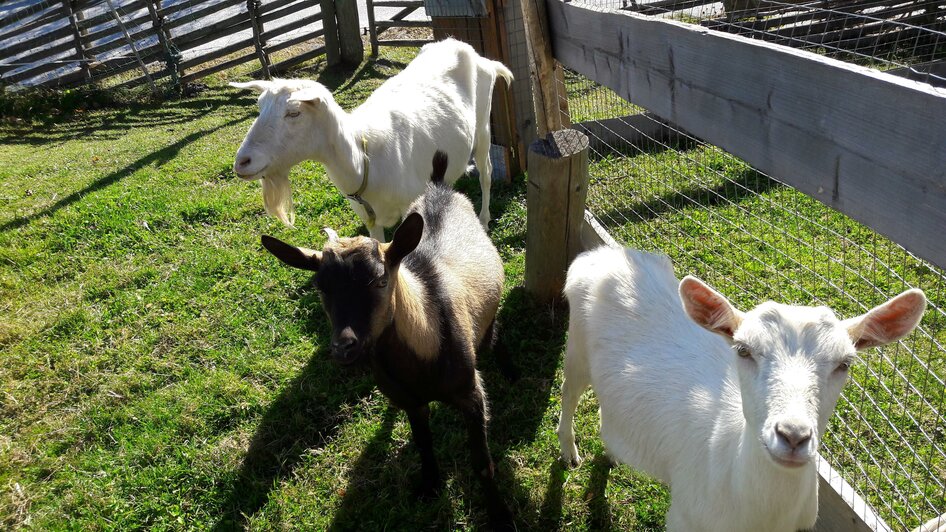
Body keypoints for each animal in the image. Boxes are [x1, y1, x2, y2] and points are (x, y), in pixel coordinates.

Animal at [229, 36, 512, 238]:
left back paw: (484, 219)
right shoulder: (370, 220)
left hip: (482, 127)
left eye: (294, 112)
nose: (241, 162)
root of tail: (480, 58)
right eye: (259, 106)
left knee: (486, 173)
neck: (363, 159)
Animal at [258, 152, 512, 524]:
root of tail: (439, 187)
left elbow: (482, 464)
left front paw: (500, 515)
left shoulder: (471, 395)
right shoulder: (410, 401)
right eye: (321, 287)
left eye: (381, 281)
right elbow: (423, 443)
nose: (343, 347)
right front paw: (430, 487)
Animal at [556, 246, 924, 532]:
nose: (793, 436)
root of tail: (597, 255)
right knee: (568, 391)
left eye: (845, 363)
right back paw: (570, 453)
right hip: (577, 347)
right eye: (744, 350)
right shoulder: (685, 518)